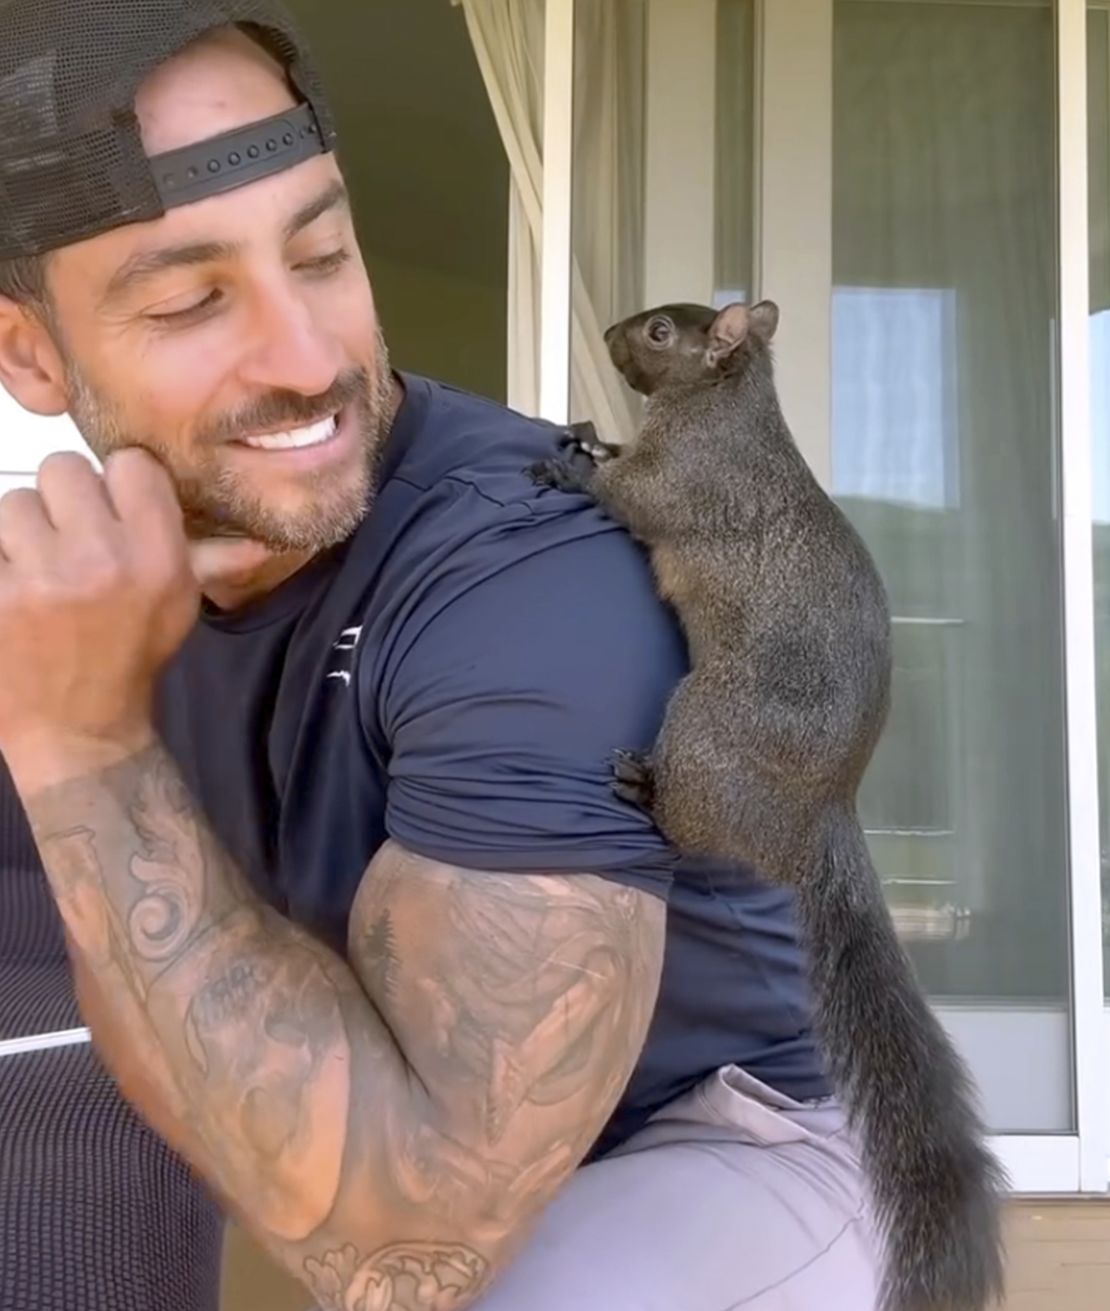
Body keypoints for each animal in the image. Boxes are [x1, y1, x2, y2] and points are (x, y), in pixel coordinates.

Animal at [529, 300, 1006, 1311]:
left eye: (661, 333)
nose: (618, 334)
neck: (724, 407)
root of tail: (818, 814)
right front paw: (587, 432)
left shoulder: (688, 485)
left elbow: (631, 497)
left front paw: (569, 464)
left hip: (701, 726)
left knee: (686, 825)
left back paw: (645, 789)